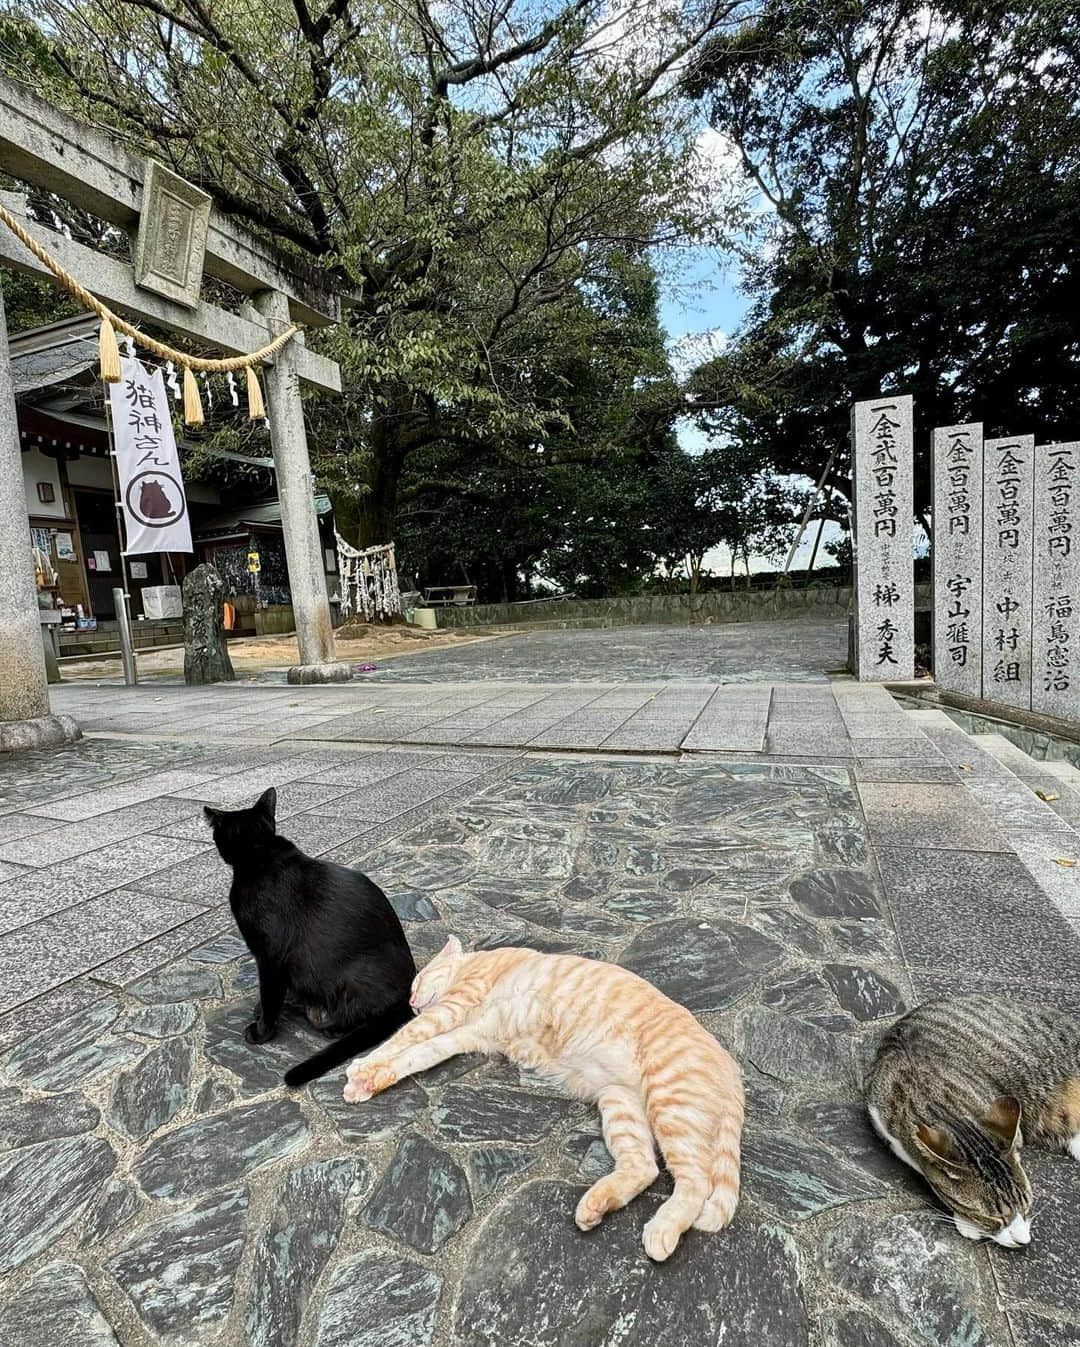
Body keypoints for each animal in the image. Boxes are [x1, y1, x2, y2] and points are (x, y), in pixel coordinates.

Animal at [204, 786, 414, 1082]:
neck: (262, 853)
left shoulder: (270, 957)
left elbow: (270, 995)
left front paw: (261, 1031)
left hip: (353, 979)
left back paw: (329, 1023)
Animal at [343, 937, 743, 1260]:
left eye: (418, 980)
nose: (411, 1001)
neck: (478, 963)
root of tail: (734, 1071)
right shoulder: (465, 1034)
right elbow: (415, 1054)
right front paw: (369, 1079)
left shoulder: (453, 1008)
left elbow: (404, 1038)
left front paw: (363, 1065)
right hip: (621, 1104)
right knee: (644, 1167)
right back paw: (595, 1205)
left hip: (670, 1103)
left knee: (695, 1181)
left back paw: (661, 1230)